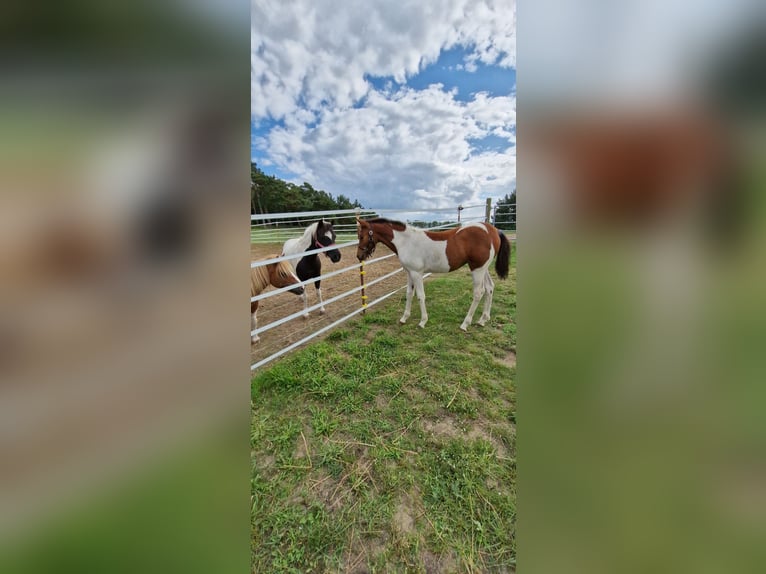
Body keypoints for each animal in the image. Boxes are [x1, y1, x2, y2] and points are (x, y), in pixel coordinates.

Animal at [356, 217, 511, 331]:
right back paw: (483, 320)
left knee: (479, 293)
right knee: (490, 288)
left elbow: (420, 296)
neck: (406, 242)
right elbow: (409, 294)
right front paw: (404, 318)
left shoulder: (417, 273)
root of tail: (493, 231)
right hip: (483, 269)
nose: (359, 256)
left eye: (362, 236)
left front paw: (422, 322)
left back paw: (465, 324)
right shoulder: (409, 272)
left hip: (477, 269)